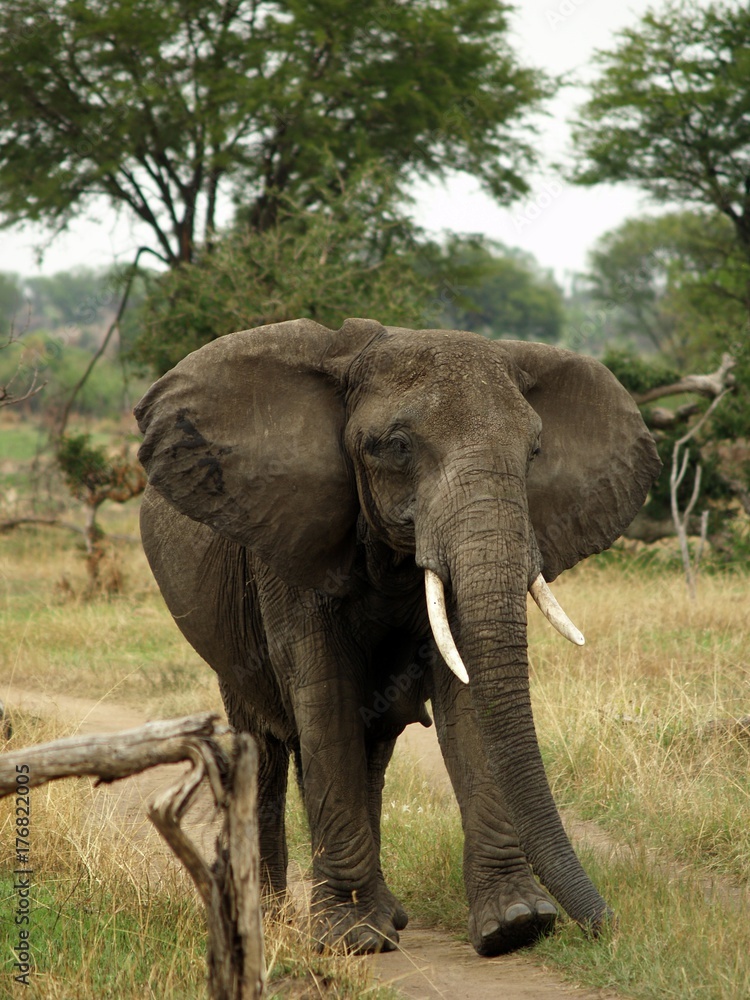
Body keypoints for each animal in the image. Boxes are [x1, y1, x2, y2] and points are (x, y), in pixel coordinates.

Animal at [134, 318, 661, 957]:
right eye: (397, 446)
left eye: (535, 452)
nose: (605, 925)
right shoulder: (289, 548)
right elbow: (326, 694)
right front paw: (353, 939)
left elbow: (466, 694)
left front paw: (515, 923)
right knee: (264, 748)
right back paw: (276, 918)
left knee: (370, 749)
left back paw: (386, 914)